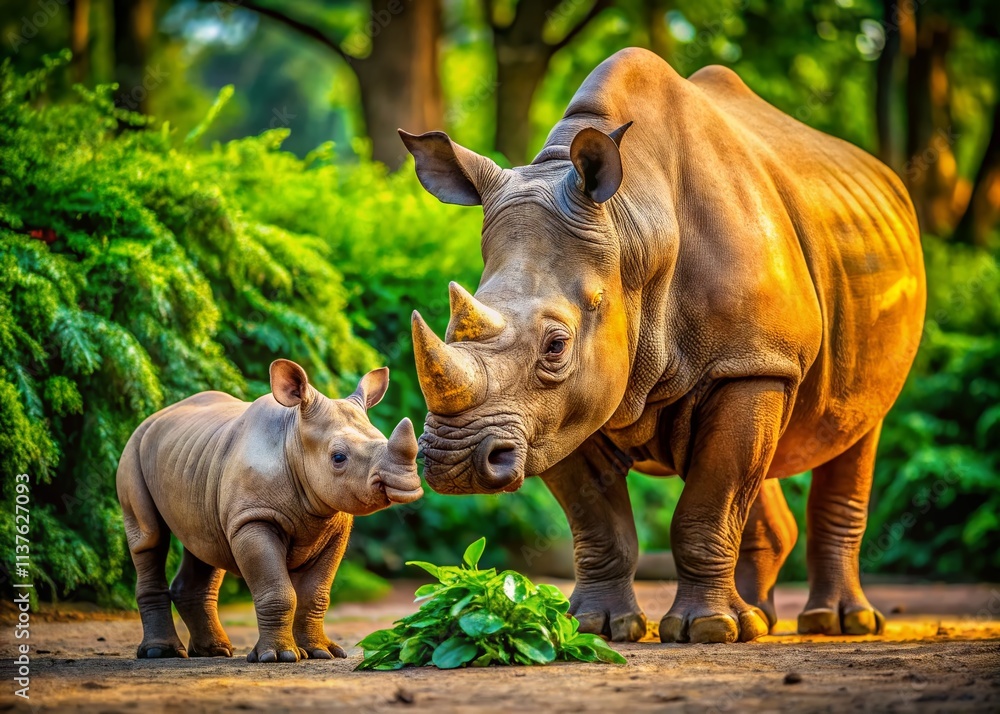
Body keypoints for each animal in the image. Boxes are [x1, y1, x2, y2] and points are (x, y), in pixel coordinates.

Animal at [116, 359, 422, 662]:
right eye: (338, 458)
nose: (407, 483)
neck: (294, 440)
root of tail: (156, 416)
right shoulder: (253, 519)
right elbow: (278, 592)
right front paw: (279, 655)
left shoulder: (335, 527)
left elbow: (315, 593)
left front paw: (320, 652)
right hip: (133, 448)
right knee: (150, 538)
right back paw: (161, 652)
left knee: (204, 542)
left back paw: (215, 651)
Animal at [400, 48, 925, 644]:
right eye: (447, 331)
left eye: (556, 346)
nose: (455, 463)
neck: (633, 229)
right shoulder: (562, 410)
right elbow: (599, 522)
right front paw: (597, 627)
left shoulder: (746, 364)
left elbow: (709, 504)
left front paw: (709, 629)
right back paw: (758, 620)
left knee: (856, 428)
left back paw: (837, 623)